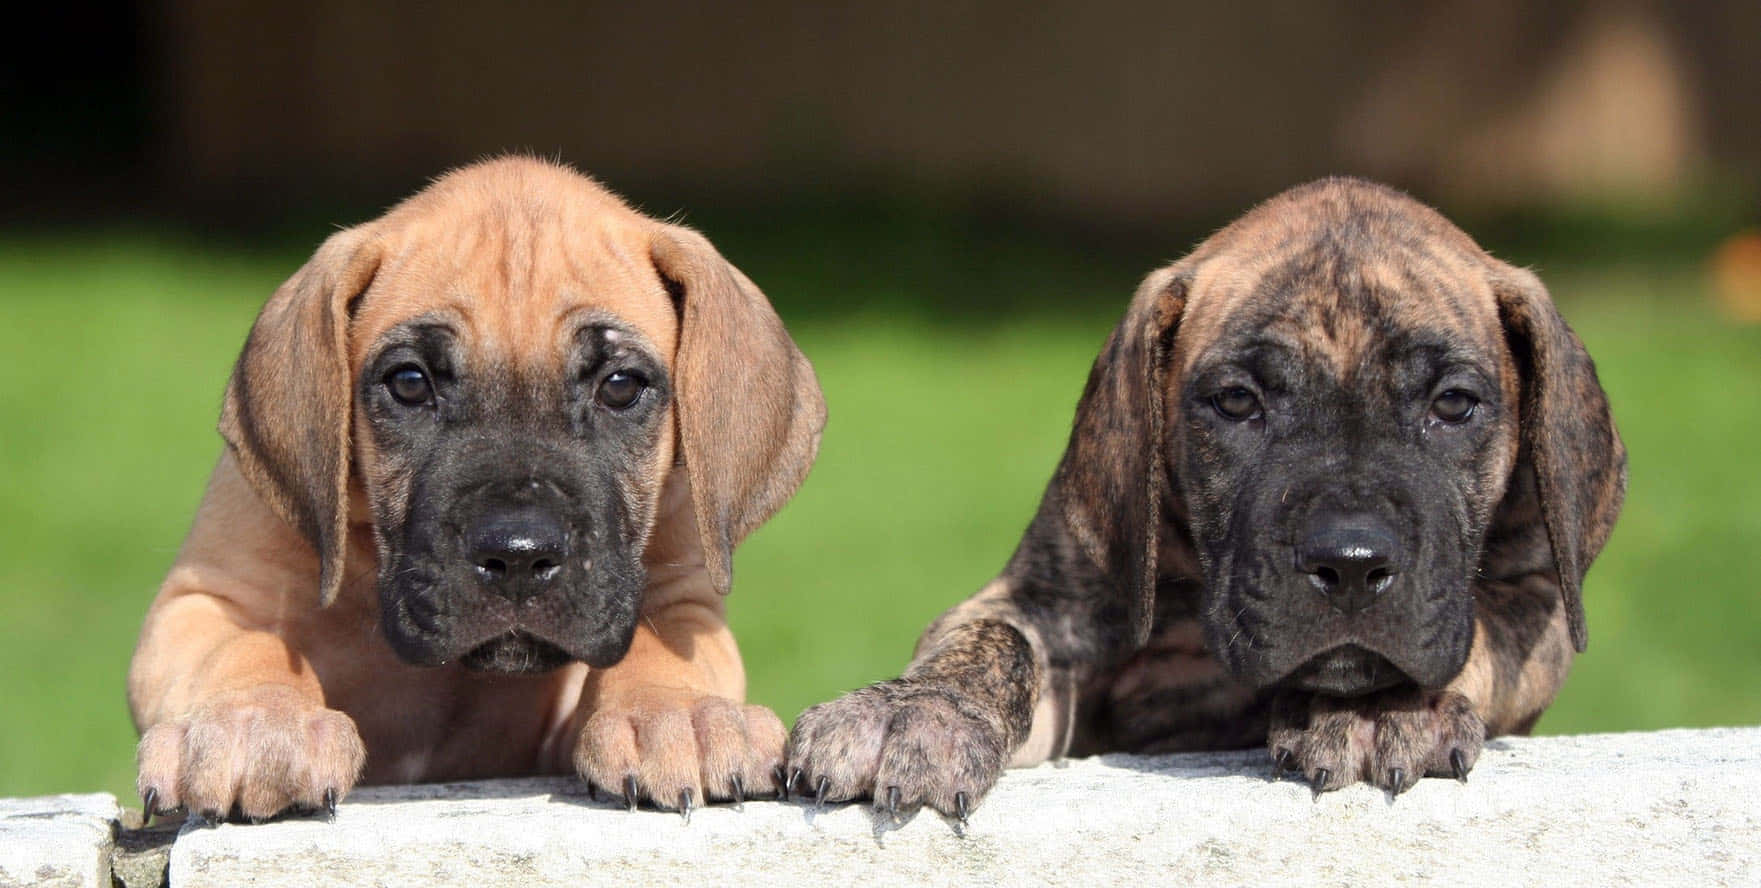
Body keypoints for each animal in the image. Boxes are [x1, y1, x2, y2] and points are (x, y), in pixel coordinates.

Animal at [792, 178, 1627, 817]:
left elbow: (1478, 633)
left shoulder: (1537, 603)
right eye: (1235, 402)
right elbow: (988, 641)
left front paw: (1376, 706)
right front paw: (915, 711)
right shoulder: (1046, 603)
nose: (1352, 565)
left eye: (1453, 405)